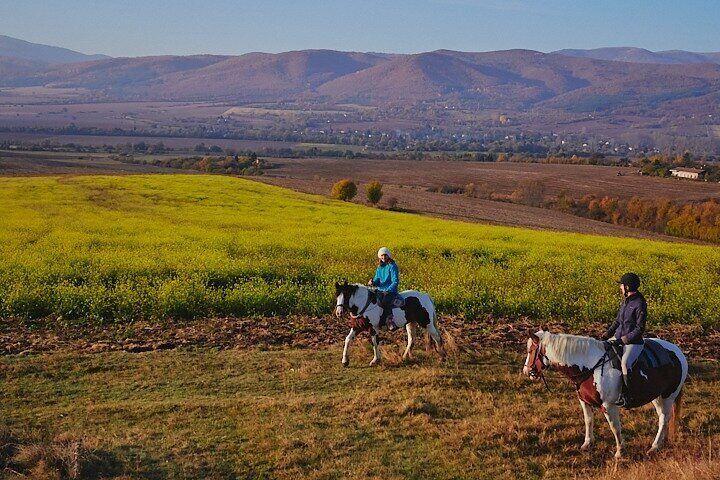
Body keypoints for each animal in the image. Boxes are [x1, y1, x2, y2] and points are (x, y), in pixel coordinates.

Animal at [522, 329, 688, 458]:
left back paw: (654, 446)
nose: (527, 371)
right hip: (657, 397)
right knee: (663, 418)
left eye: (530, 351)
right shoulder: (584, 402)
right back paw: (660, 443)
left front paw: (620, 452)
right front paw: (587, 444)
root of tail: (679, 352)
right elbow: (588, 421)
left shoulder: (608, 406)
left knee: (664, 419)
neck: (591, 366)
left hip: (668, 396)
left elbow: (615, 427)